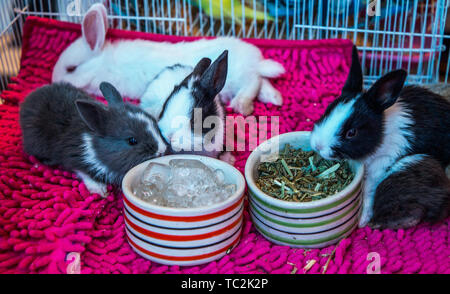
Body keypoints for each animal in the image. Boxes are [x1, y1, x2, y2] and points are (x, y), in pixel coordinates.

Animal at [20, 81, 168, 196]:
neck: (94, 143)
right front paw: (100, 190)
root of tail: (29, 98)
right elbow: (84, 173)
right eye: (132, 141)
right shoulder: (74, 158)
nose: (161, 150)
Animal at [52, 4, 284, 116]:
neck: (102, 63)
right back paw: (275, 98)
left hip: (238, 76)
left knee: (252, 82)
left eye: (71, 68)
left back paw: (242, 105)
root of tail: (256, 60)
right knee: (262, 81)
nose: (54, 81)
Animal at [310, 46, 450, 229]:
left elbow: (368, 191)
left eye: (351, 133)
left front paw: (362, 220)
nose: (317, 146)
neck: (382, 133)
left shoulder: (382, 165)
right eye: (327, 110)